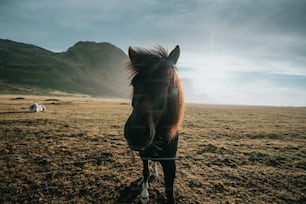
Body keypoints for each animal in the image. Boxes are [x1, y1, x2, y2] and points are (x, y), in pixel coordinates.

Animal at [124, 45, 184, 203]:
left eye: (165, 84)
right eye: (134, 83)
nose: (136, 134)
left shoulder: (170, 163)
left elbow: (169, 190)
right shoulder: (143, 153)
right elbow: (145, 171)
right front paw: (144, 194)